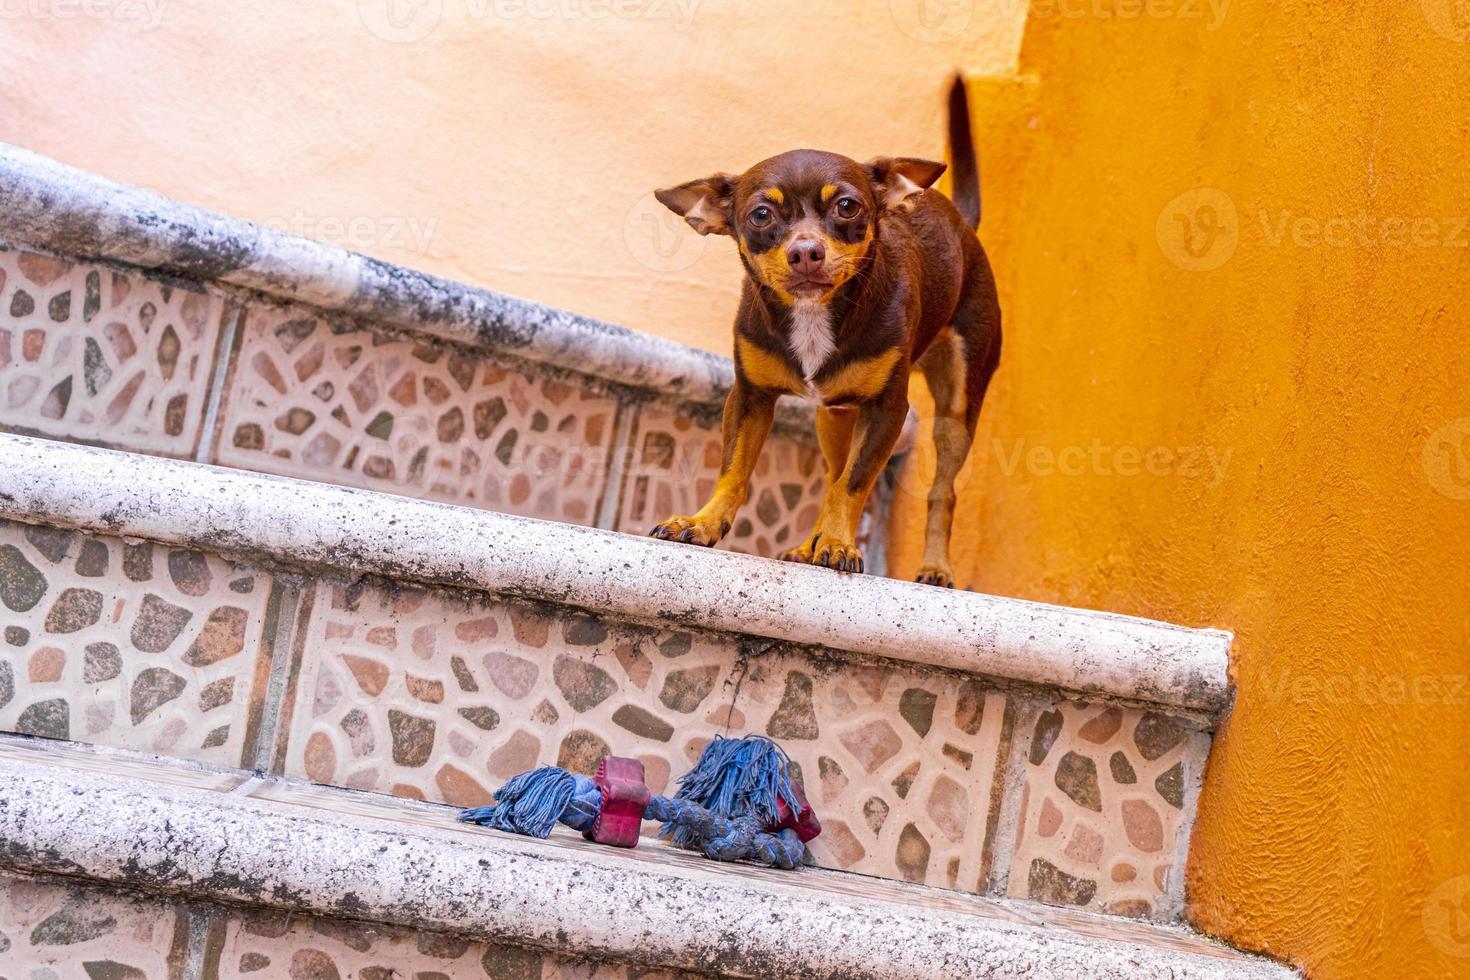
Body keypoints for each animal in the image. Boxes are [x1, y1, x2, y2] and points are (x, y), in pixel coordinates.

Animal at [646, 76, 999, 587]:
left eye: (847, 207)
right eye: (760, 216)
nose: (806, 251)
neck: (814, 315)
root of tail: (962, 227)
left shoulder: (888, 410)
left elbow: (855, 483)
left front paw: (838, 545)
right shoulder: (750, 397)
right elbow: (735, 469)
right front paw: (705, 522)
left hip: (956, 411)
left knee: (940, 490)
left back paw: (934, 567)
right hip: (832, 418)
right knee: (832, 473)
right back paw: (807, 545)